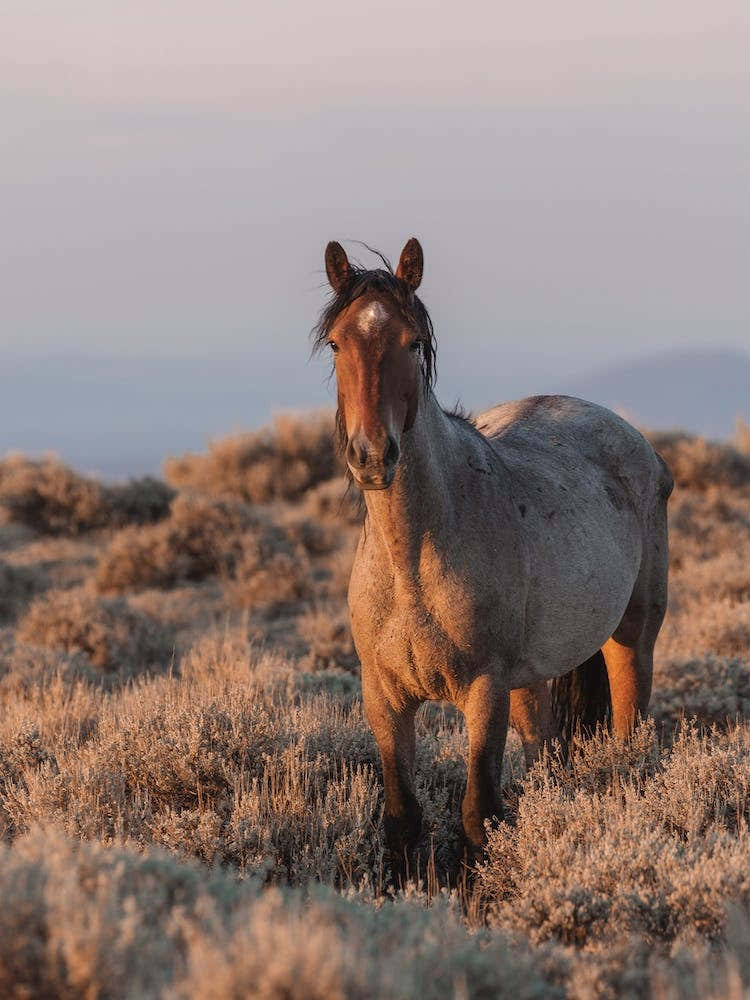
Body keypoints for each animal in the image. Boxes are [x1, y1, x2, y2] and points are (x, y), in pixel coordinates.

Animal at [313, 237, 673, 864]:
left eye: (412, 342)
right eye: (337, 343)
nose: (374, 456)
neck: (412, 563)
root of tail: (640, 446)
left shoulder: (484, 691)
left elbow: (480, 815)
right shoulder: (384, 699)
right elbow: (403, 820)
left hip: (631, 639)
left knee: (631, 735)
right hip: (528, 680)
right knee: (546, 756)